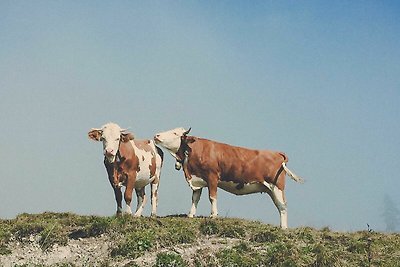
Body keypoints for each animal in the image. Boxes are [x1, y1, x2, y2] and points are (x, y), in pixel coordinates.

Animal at [153, 129, 304, 229]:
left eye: (175, 133)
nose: (157, 135)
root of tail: (277, 153)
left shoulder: (212, 177)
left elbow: (212, 197)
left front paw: (214, 215)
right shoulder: (198, 180)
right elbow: (195, 198)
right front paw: (191, 215)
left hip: (277, 186)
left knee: (282, 206)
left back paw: (283, 228)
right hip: (271, 189)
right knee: (279, 206)